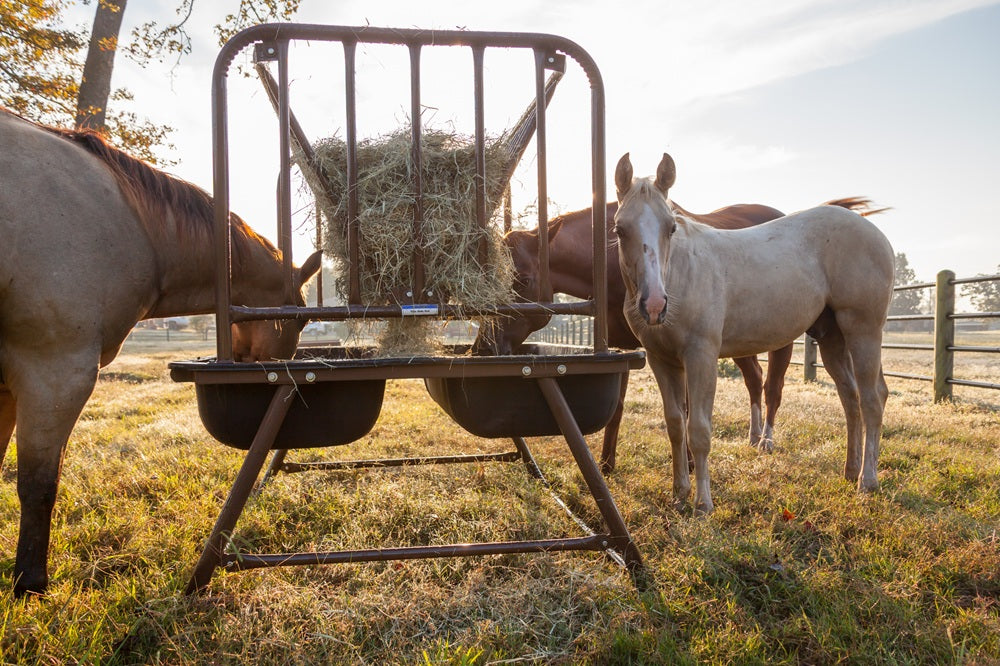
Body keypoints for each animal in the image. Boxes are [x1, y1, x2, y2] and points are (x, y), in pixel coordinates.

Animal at [612, 152, 893, 514]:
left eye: (670, 227)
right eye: (620, 229)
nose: (654, 305)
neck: (680, 273)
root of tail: (874, 232)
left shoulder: (701, 356)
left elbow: (699, 430)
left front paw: (703, 504)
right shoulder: (662, 361)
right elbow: (675, 426)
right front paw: (679, 493)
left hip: (864, 330)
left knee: (873, 399)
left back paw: (867, 481)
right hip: (833, 338)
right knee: (851, 398)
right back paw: (850, 470)